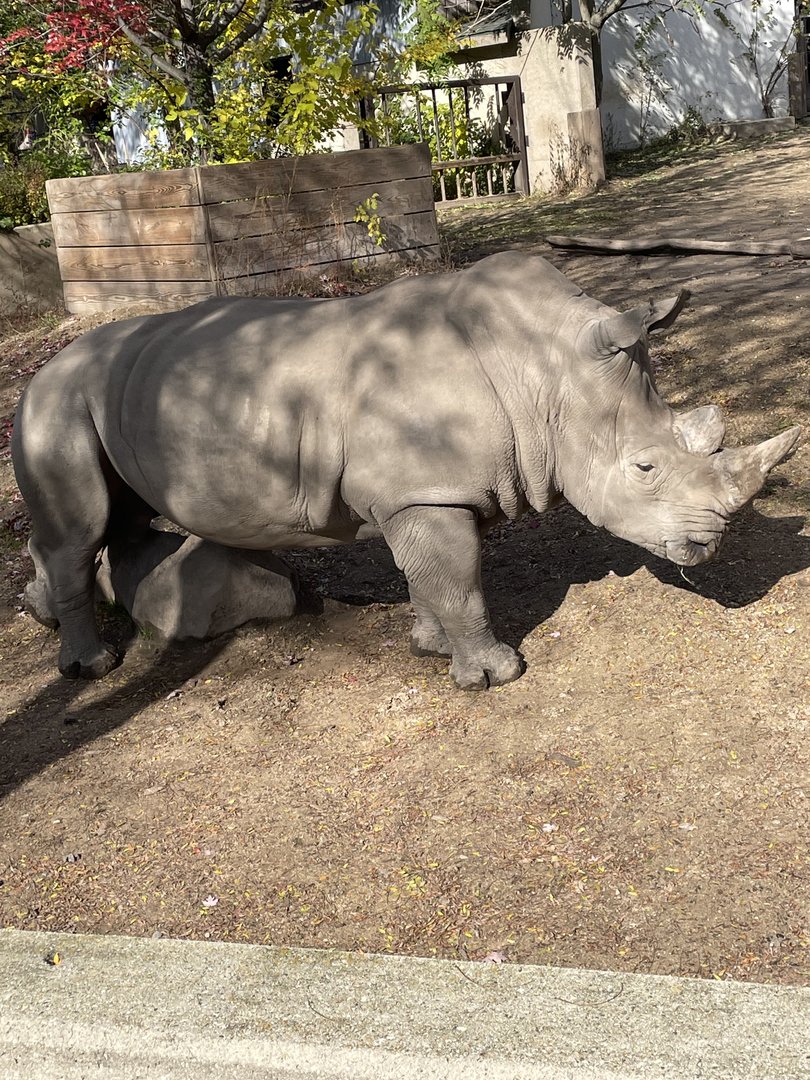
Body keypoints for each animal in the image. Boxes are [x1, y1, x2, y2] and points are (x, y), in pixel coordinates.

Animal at [12, 252, 800, 689]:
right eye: (644, 467)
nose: (709, 547)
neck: (545, 370)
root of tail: (43, 364)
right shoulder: (428, 492)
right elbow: (458, 579)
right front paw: (495, 676)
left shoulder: (419, 493)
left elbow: (429, 576)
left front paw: (430, 647)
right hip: (55, 401)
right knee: (79, 530)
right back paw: (93, 668)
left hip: (107, 392)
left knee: (120, 517)